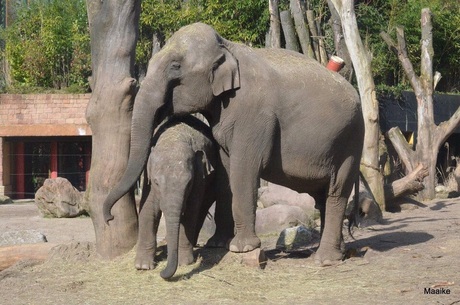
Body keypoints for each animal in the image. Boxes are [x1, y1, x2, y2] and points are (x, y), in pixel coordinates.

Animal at [135, 114, 217, 278]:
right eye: (156, 182)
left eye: (188, 182)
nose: (162, 272)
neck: (173, 137)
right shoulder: (147, 176)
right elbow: (148, 209)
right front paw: (143, 266)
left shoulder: (199, 177)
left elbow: (191, 211)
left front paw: (184, 263)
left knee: (201, 209)